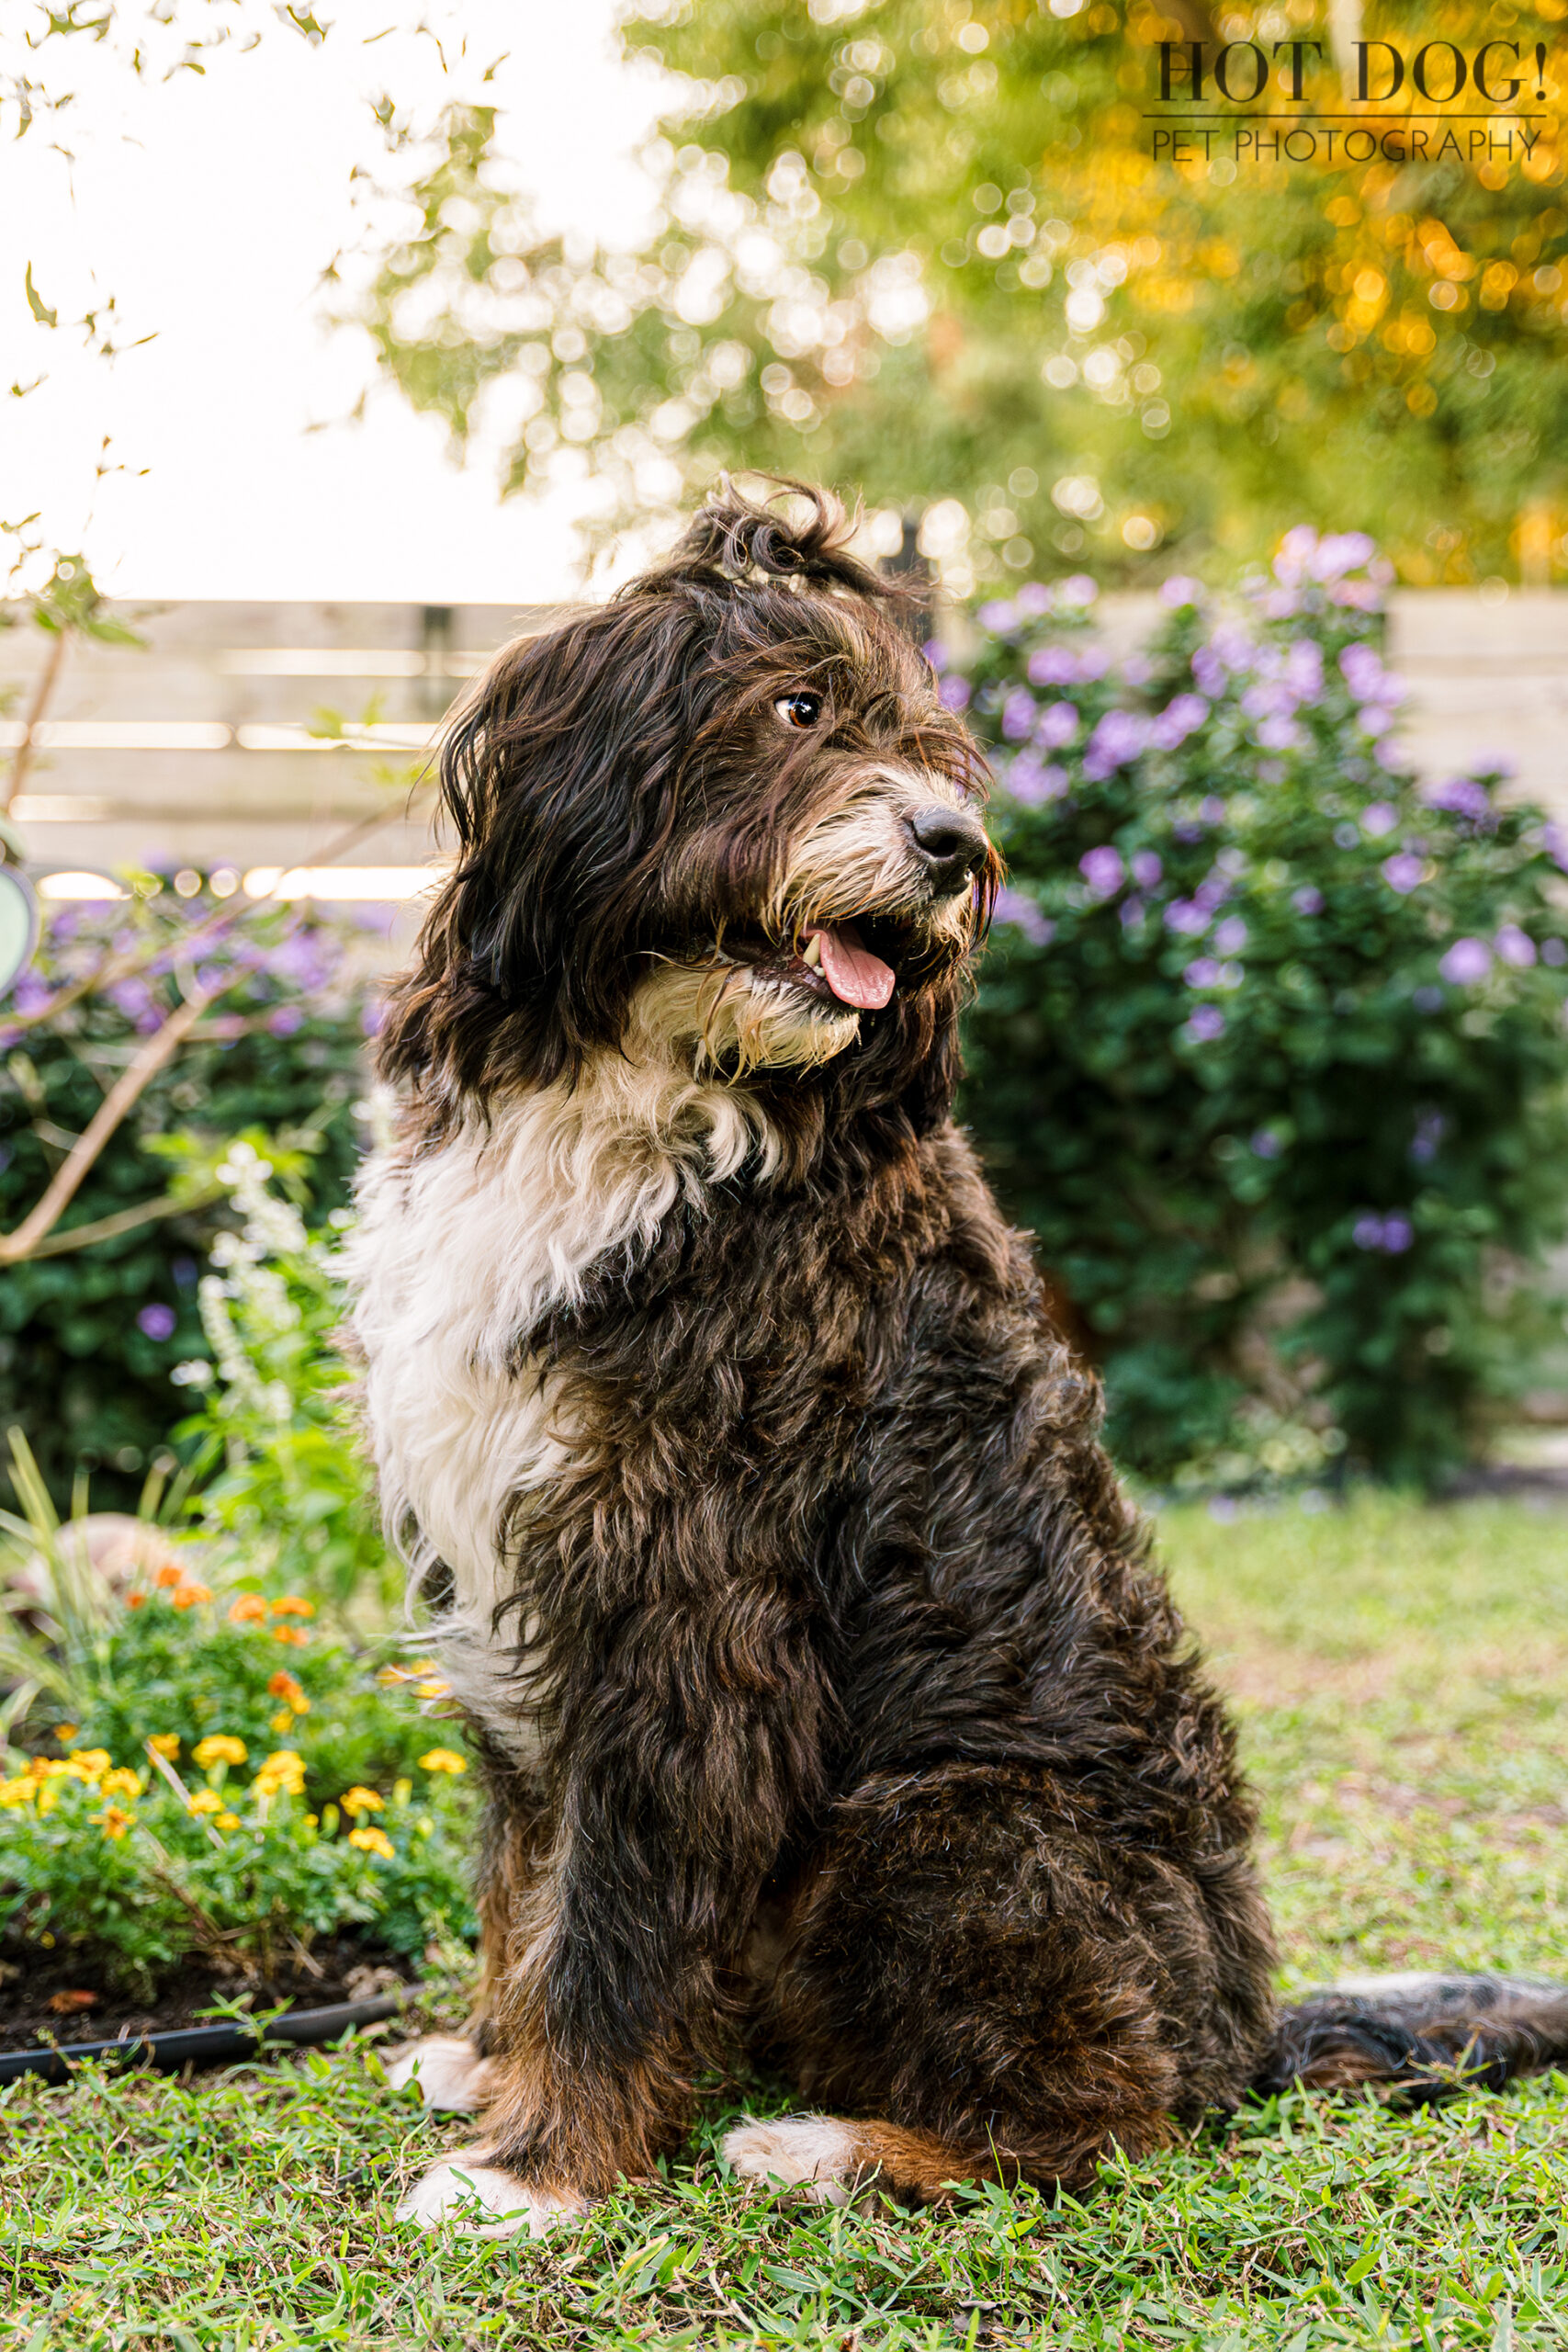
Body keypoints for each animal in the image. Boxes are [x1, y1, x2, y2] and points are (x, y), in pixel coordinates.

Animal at [345, 486, 1568, 2229]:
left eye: (934, 755)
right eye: (797, 711)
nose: (953, 852)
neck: (656, 1090)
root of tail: (1240, 2028)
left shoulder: (689, 1607)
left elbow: (612, 1913)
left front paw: (541, 2165)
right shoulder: (519, 1565)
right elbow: (534, 1873)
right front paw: (496, 2058)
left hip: (936, 1825)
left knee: (1108, 2125)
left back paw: (833, 2145)